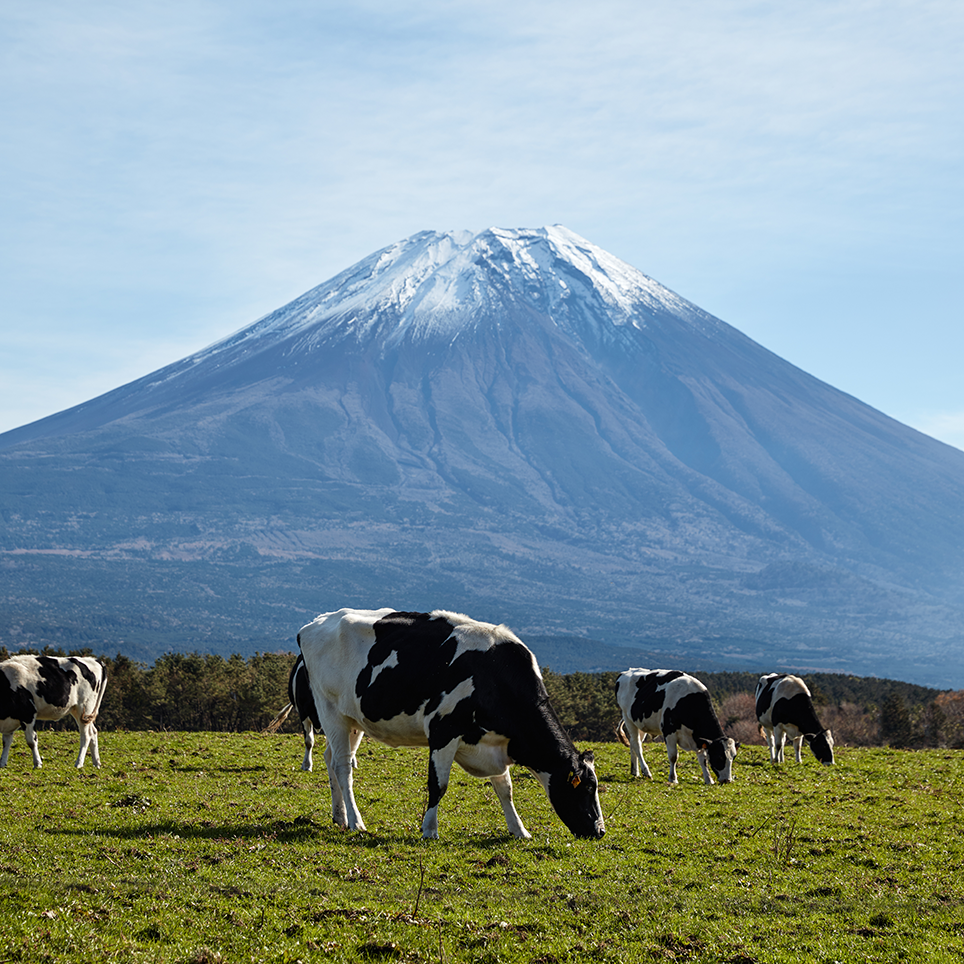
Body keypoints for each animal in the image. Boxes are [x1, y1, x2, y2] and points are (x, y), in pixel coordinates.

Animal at [298, 608, 608, 840]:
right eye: (587, 788)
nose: (600, 831)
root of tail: (313, 624)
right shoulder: (443, 730)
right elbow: (438, 785)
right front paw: (429, 830)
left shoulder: (495, 743)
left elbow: (505, 789)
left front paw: (519, 830)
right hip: (331, 711)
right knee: (343, 767)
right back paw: (356, 821)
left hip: (353, 721)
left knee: (331, 759)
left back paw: (339, 816)